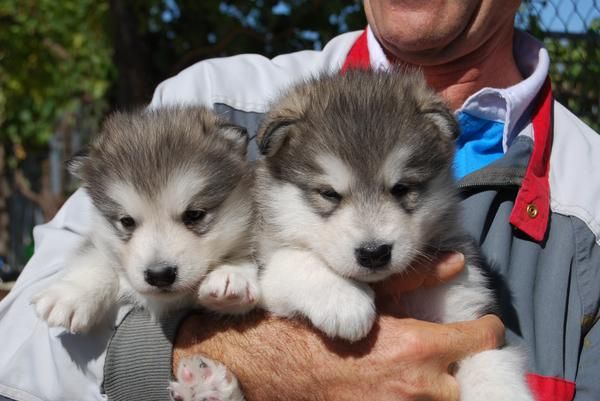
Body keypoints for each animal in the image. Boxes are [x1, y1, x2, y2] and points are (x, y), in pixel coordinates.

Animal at [31, 105, 255, 400]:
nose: (160, 275)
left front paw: (233, 275)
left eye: (194, 215)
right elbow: (97, 256)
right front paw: (72, 293)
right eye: (127, 221)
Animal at [256, 69, 536, 400]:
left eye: (402, 188)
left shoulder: (466, 310)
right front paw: (343, 299)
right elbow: (293, 260)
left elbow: (492, 365)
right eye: (329, 194)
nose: (373, 253)